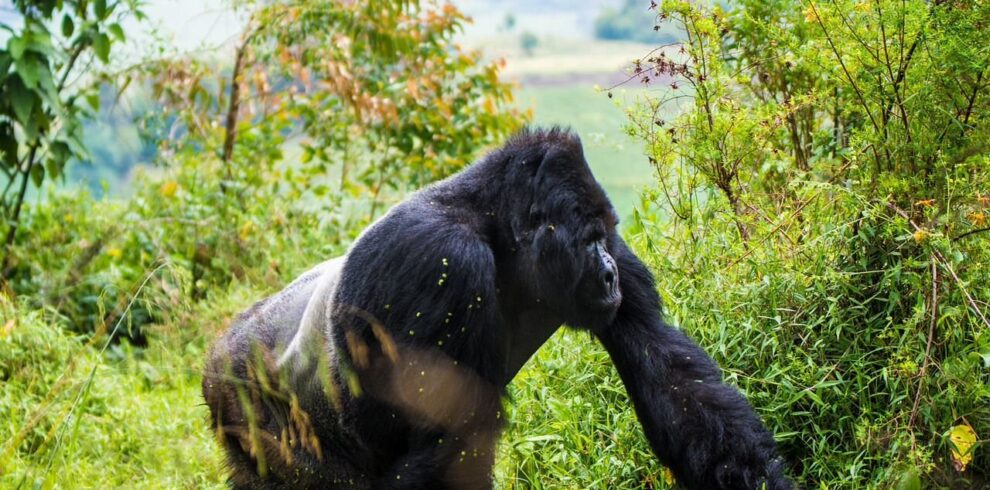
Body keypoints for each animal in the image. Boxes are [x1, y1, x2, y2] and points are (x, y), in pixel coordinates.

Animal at [205, 128, 796, 488]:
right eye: (588, 242)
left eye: (604, 238)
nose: (608, 275)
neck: (493, 225)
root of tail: (216, 352)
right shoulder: (439, 258)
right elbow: (448, 441)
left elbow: (673, 378)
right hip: (244, 403)